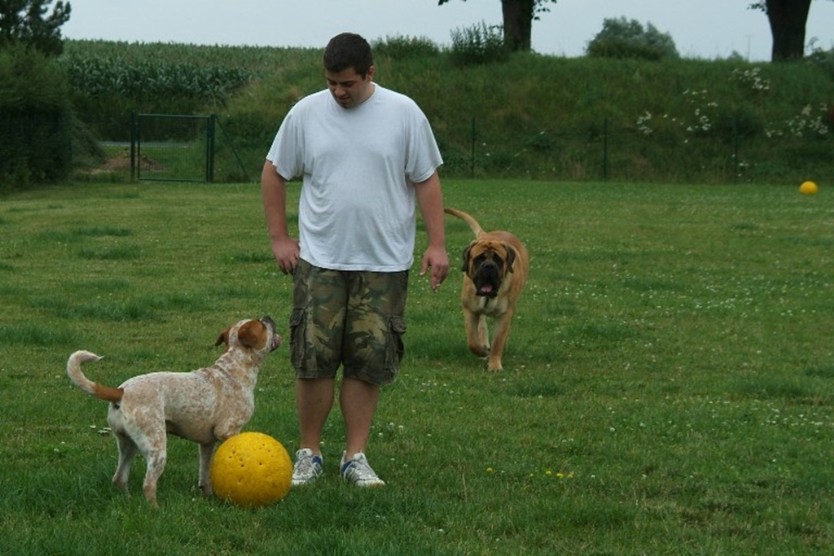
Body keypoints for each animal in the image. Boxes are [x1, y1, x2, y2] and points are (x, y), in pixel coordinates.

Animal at [65, 314, 280, 506]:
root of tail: (121, 392)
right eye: (261, 324)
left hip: (128, 445)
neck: (233, 370)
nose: (268, 316)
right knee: (148, 484)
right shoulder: (228, 431)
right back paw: (156, 510)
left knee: (119, 478)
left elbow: (204, 474)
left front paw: (208, 496)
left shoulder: (206, 443)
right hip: (156, 447)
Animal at [442, 208, 528, 374]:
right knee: (481, 326)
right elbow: (472, 340)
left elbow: (498, 342)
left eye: (498, 259)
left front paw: (494, 364)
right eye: (479, 258)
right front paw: (482, 351)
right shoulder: (469, 310)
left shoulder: (504, 315)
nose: (489, 266)